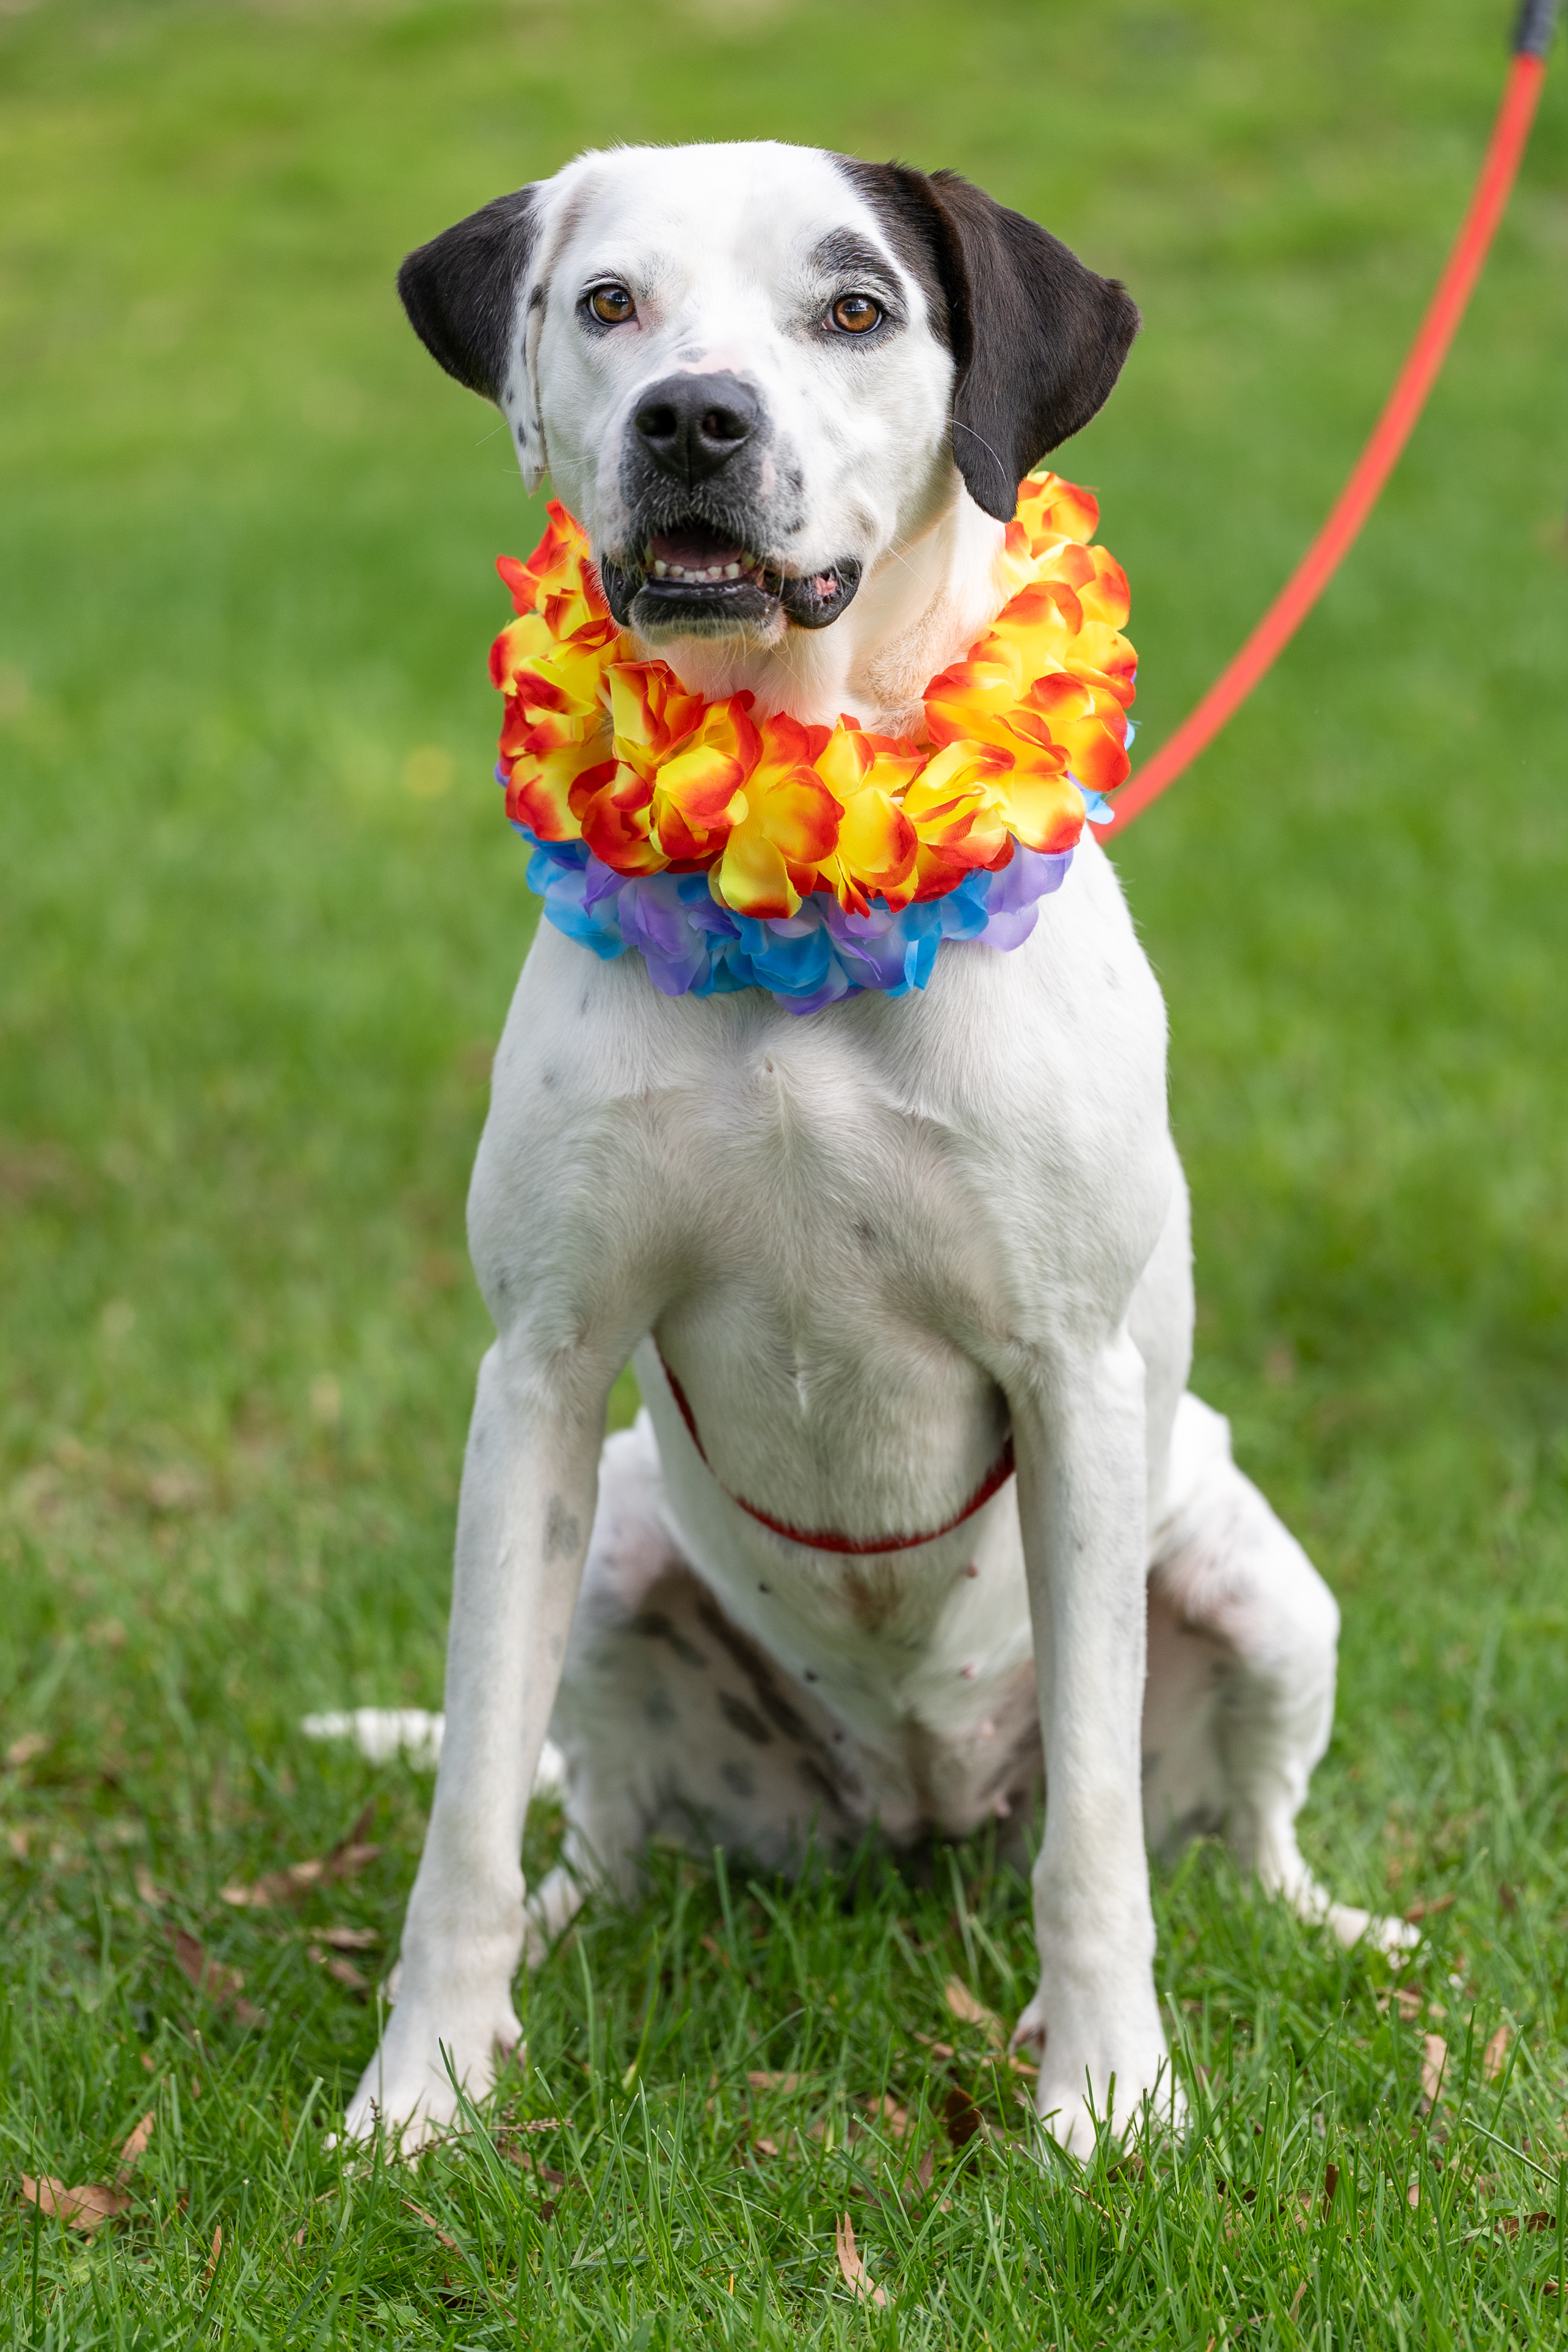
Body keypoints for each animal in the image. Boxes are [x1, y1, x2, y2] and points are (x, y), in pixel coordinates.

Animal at [352, 133, 1410, 2154]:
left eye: (855, 306)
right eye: (608, 302)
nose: (694, 420)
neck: (787, 879)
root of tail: (910, 1809)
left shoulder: (1069, 1379)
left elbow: (1099, 1842)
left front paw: (1108, 2097)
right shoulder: (541, 1374)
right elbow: (463, 1821)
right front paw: (419, 2094)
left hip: (1255, 1582)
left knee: (1237, 1834)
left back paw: (1339, 1932)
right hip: (617, 1547)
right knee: (591, 1818)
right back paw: (568, 1924)